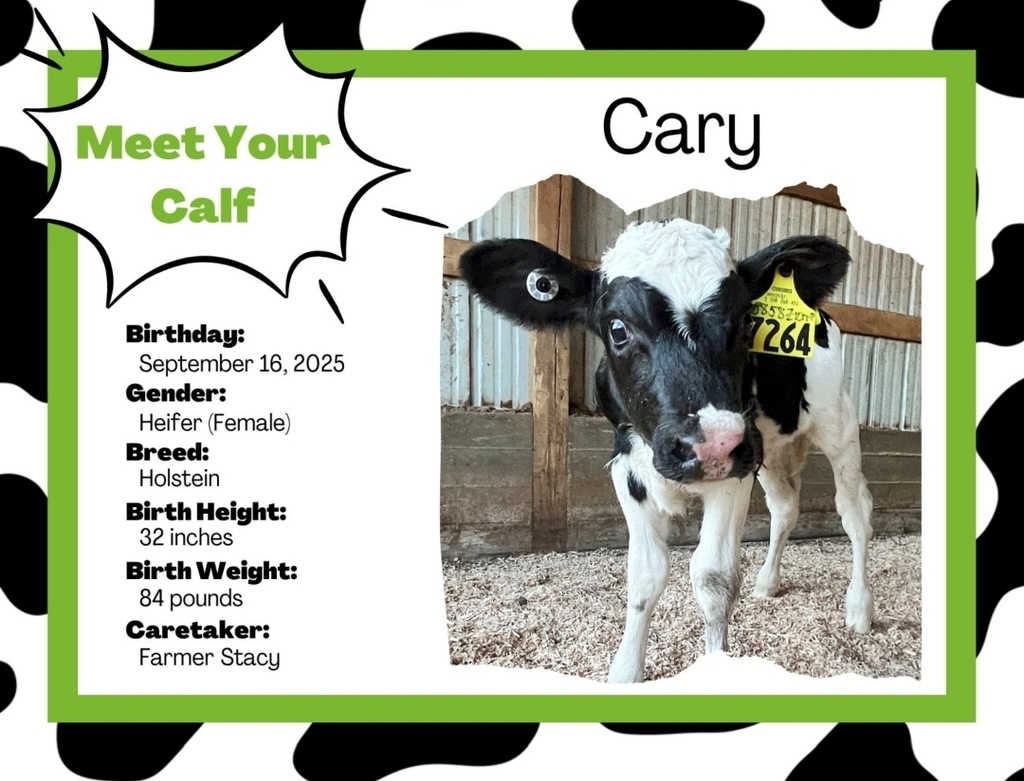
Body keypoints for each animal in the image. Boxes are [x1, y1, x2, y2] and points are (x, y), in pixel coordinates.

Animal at [458, 217, 874, 683]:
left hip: (836, 421)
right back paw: (768, 583)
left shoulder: (734, 468)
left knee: (855, 512)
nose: (712, 442)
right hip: (769, 446)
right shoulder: (628, 467)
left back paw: (859, 608)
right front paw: (625, 671)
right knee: (785, 507)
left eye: (746, 321)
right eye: (617, 328)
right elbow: (645, 576)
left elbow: (712, 577)